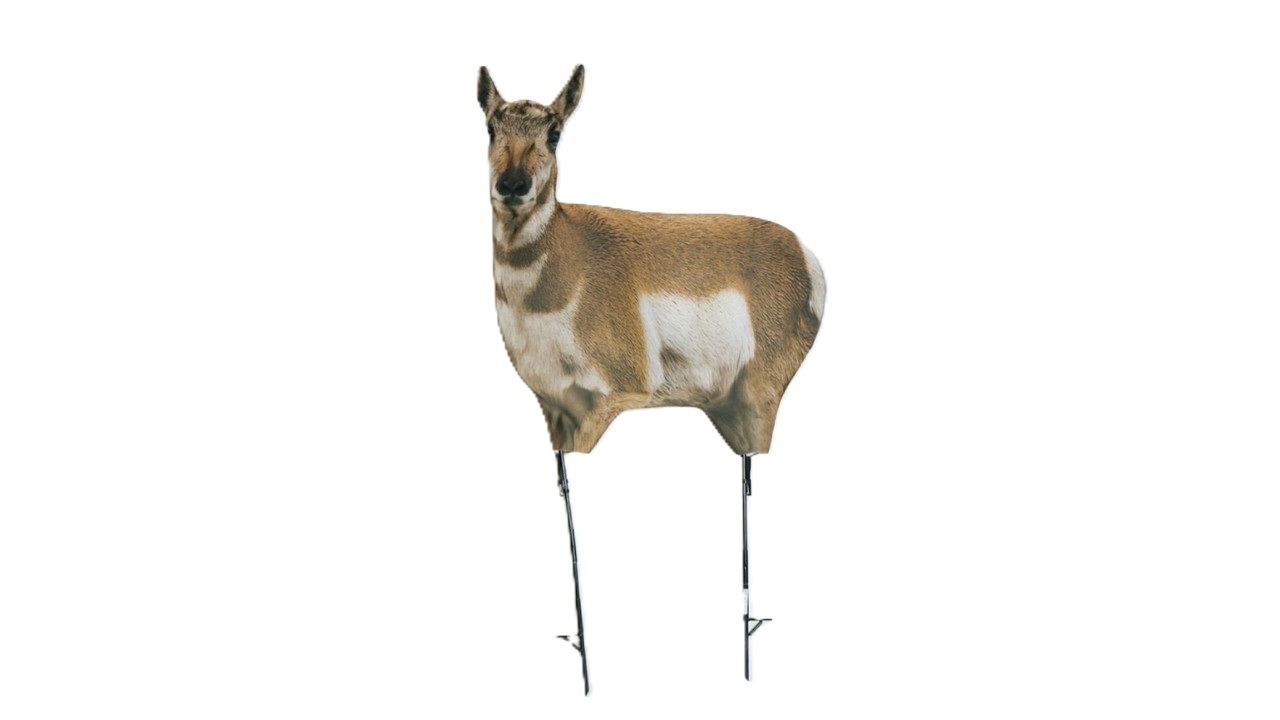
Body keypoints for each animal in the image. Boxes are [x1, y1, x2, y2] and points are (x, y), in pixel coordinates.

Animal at [479, 65, 825, 693]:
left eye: (555, 132)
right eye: (492, 126)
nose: (513, 185)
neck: (566, 258)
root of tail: (803, 250)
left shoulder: (615, 399)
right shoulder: (554, 412)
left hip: (758, 404)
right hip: (727, 409)